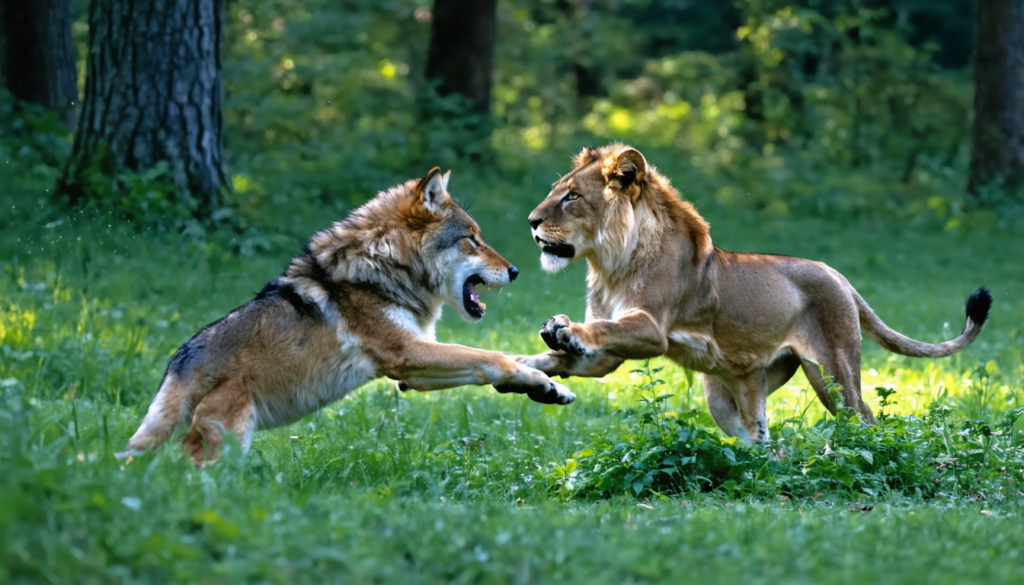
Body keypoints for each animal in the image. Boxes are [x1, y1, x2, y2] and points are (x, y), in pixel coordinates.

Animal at [124, 168, 574, 463]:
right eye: (472, 240)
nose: (515, 271)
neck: (382, 269)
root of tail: (179, 362)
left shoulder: (411, 375)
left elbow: (505, 361)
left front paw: (548, 384)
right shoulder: (408, 355)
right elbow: (491, 357)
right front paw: (540, 381)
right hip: (227, 440)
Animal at [515, 143, 991, 443]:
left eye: (571, 197)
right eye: (555, 193)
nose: (531, 221)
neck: (609, 263)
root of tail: (838, 275)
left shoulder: (652, 330)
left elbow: (605, 330)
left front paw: (564, 329)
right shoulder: (608, 357)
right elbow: (565, 355)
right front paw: (528, 362)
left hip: (833, 373)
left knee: (863, 419)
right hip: (729, 393)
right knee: (761, 439)